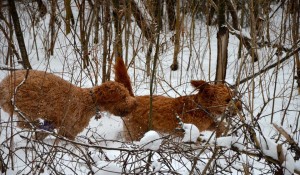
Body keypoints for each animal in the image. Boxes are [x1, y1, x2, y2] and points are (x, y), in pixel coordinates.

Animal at [0, 69, 136, 140]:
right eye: (123, 97)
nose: (134, 103)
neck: (90, 101)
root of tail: (4, 83)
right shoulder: (69, 129)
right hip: (29, 106)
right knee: (23, 123)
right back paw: (37, 125)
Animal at [113, 57, 243, 141]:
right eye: (227, 100)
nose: (240, 108)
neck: (200, 106)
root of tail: (132, 99)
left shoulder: (209, 123)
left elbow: (220, 126)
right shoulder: (190, 130)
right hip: (136, 131)